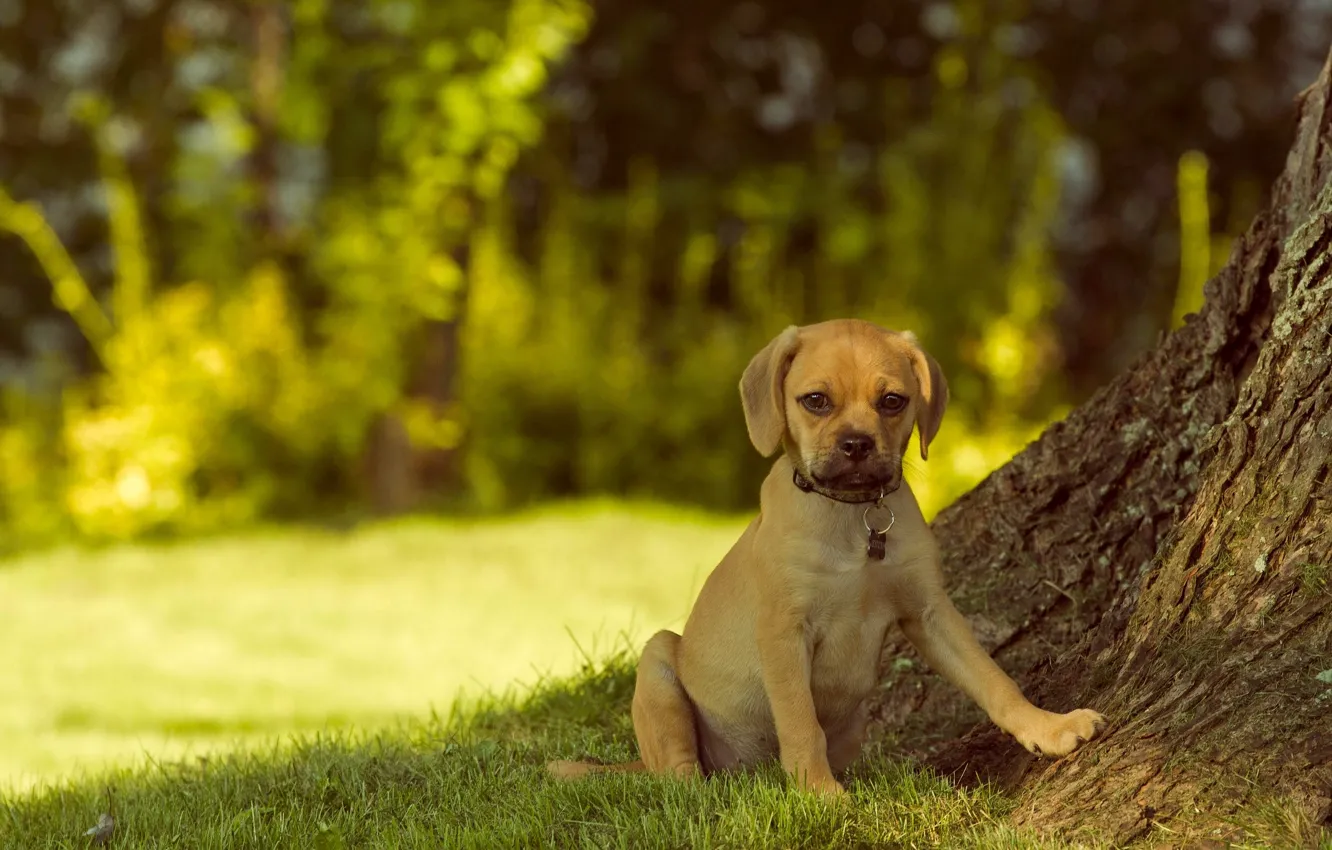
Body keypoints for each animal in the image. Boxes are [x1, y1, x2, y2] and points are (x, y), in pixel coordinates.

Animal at [551, 321, 1102, 799]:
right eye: (815, 400)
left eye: (892, 400)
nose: (856, 444)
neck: (852, 518)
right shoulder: (784, 631)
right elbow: (800, 722)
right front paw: (819, 792)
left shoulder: (929, 612)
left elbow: (993, 679)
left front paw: (1048, 727)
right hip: (659, 661)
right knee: (679, 777)